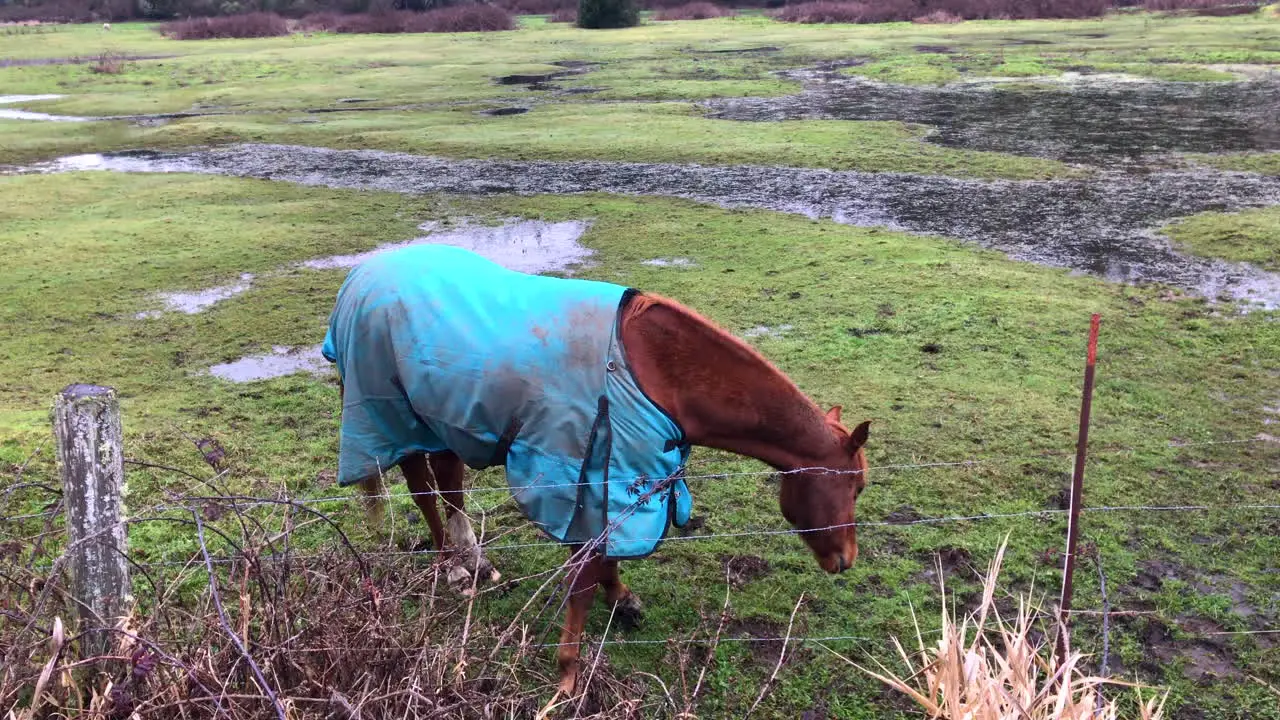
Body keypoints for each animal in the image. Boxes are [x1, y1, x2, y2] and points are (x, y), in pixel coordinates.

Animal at [325, 244, 875, 691]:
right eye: (856, 488)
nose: (845, 560)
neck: (656, 372)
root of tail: (360, 276)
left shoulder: (618, 475)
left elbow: (608, 552)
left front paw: (622, 599)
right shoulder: (580, 474)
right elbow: (584, 577)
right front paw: (568, 677)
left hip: (441, 422)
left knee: (449, 486)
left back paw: (476, 564)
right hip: (395, 418)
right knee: (424, 492)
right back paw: (453, 570)